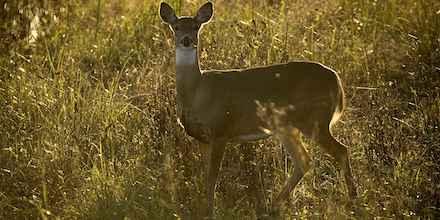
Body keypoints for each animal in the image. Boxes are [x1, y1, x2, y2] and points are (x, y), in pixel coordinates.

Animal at [158, 1, 358, 218]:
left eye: (196, 27)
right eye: (176, 27)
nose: (186, 40)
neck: (197, 93)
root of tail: (336, 80)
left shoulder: (221, 130)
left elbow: (213, 176)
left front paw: (209, 211)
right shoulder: (201, 138)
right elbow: (205, 176)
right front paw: (204, 206)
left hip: (315, 119)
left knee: (341, 151)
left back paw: (352, 201)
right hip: (287, 127)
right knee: (304, 161)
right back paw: (272, 206)